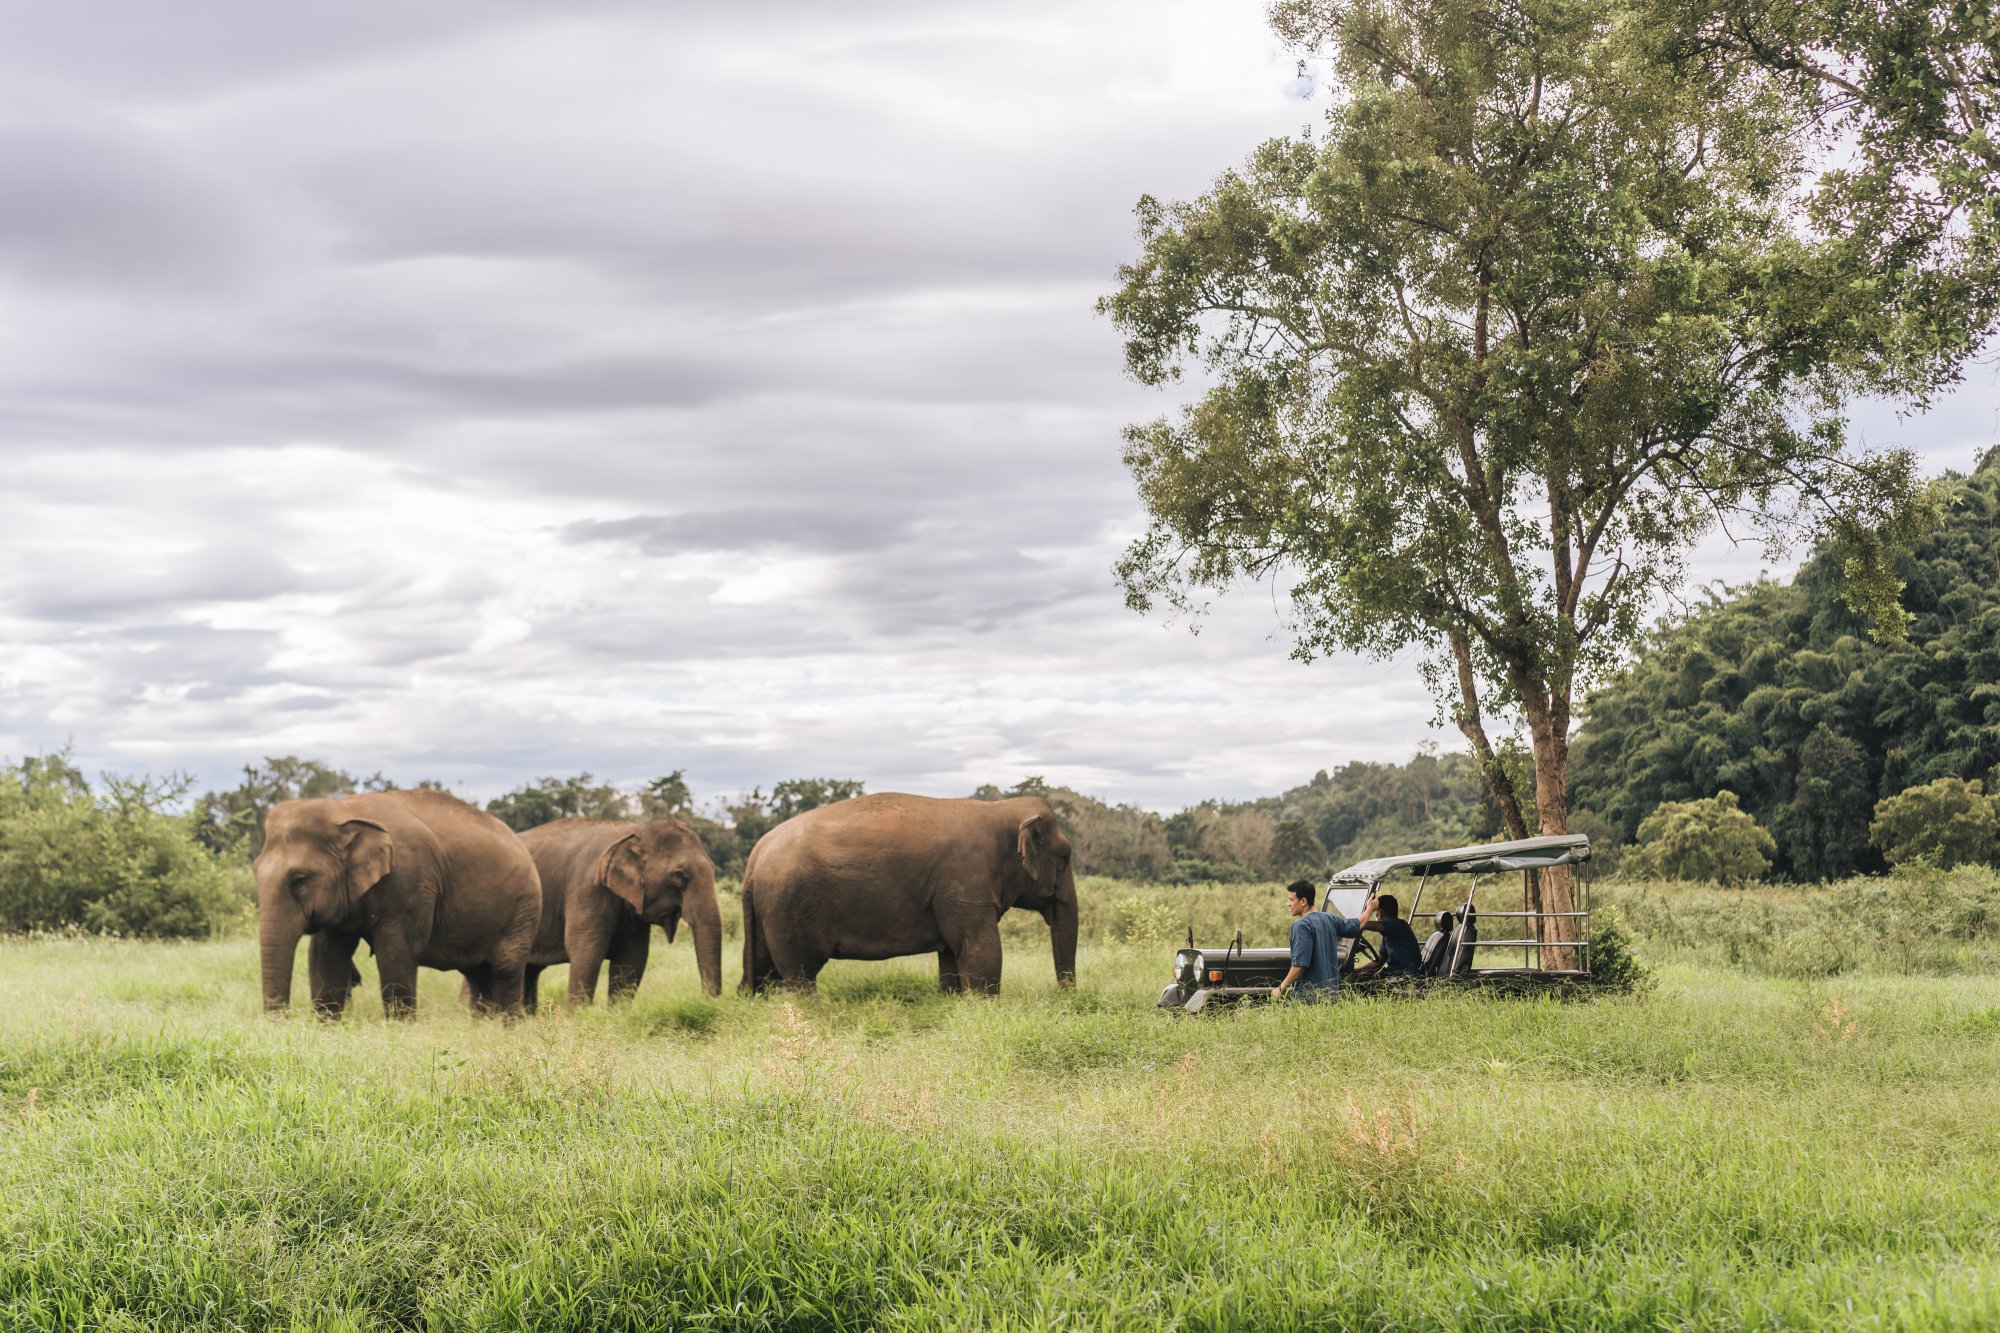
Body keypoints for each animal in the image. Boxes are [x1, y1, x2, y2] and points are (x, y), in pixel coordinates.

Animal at [254, 788, 544, 1016]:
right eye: (255, 871)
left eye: (300, 879)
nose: (283, 1021)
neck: (344, 808)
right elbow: (327, 955)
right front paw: (326, 1026)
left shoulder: (410, 881)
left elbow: (396, 953)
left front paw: (399, 1026)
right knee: (477, 973)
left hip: (524, 906)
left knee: (505, 968)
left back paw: (508, 1026)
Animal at [520, 808, 724, 1008]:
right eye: (679, 874)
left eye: (713, 868)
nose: (705, 1001)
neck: (634, 832)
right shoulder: (586, 889)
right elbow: (586, 954)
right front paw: (577, 1015)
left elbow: (632, 960)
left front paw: (618, 1012)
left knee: (528, 971)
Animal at [740, 788, 1080, 984]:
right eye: (1065, 857)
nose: (1065, 997)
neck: (999, 809)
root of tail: (755, 857)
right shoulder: (966, 884)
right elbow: (981, 952)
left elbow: (952, 955)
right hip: (790, 907)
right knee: (799, 974)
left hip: (766, 911)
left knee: (760, 970)